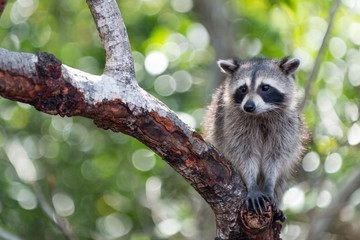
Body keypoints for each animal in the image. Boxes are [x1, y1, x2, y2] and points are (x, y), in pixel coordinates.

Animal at [202, 56, 306, 221]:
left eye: (265, 87)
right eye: (243, 89)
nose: (248, 106)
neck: (261, 114)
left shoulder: (287, 126)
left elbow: (276, 157)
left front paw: (269, 185)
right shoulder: (232, 124)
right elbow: (243, 155)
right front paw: (252, 185)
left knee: (282, 177)